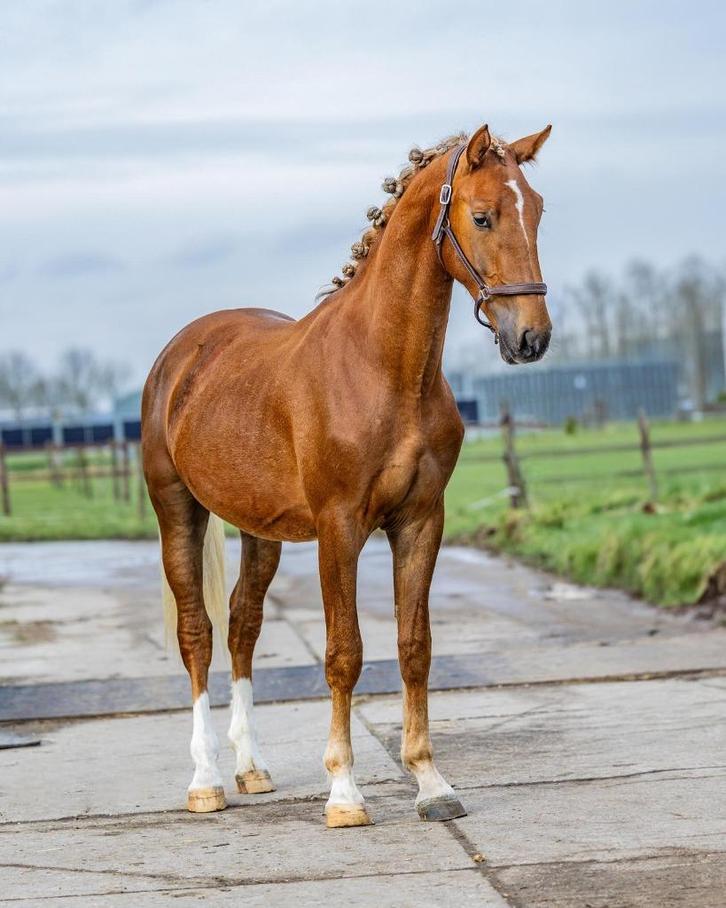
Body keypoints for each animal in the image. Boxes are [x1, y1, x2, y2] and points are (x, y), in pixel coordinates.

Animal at [141, 122, 553, 827]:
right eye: (482, 216)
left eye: (540, 211)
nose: (532, 338)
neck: (384, 369)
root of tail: (181, 354)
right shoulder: (339, 528)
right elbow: (344, 654)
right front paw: (343, 792)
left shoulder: (420, 521)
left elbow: (414, 647)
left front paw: (431, 783)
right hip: (178, 512)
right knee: (198, 632)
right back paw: (206, 781)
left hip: (261, 531)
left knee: (243, 625)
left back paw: (251, 768)